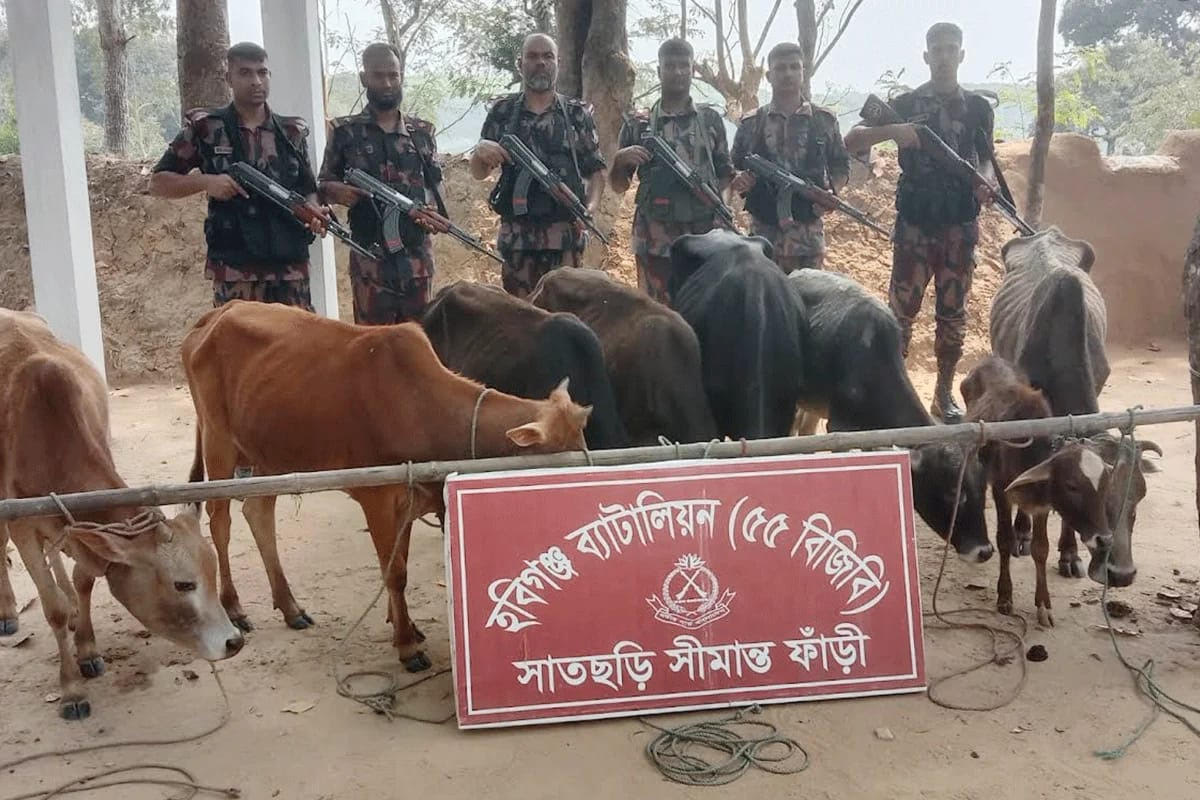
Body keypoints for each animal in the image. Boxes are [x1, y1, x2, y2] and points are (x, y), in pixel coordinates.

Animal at [1, 309, 242, 720]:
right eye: (183, 584)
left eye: (213, 574)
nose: (234, 642)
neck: (48, 440)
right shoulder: (23, 527)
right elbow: (53, 609)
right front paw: (71, 689)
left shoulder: (80, 528)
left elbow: (83, 580)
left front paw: (87, 649)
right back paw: (7, 612)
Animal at [182, 300, 591, 672]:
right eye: (561, 456)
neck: (425, 410)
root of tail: (215, 314)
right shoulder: (377, 500)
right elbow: (395, 572)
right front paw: (408, 646)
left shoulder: (408, 503)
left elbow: (400, 562)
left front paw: (403, 625)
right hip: (219, 442)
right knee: (220, 521)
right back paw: (233, 607)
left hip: (269, 452)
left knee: (259, 513)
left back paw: (290, 607)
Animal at [960, 356, 1159, 625]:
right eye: (1071, 485)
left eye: (1104, 486)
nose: (1104, 539)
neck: (1027, 451)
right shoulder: (1001, 492)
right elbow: (1003, 541)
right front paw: (1005, 596)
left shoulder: (1043, 505)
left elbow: (1041, 549)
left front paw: (1043, 604)